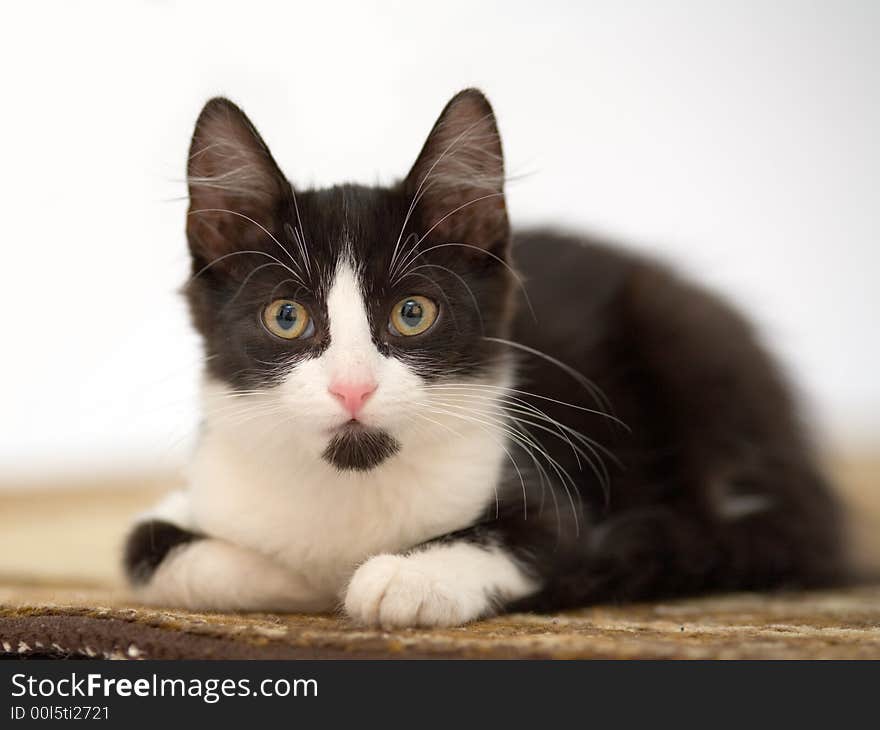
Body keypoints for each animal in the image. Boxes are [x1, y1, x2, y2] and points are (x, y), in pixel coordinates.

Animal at [124, 89, 844, 624]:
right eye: (286, 318)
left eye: (413, 313)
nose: (353, 388)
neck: (351, 483)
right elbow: (145, 547)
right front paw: (290, 577)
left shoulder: (551, 494)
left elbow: (534, 539)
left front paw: (402, 577)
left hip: (688, 338)